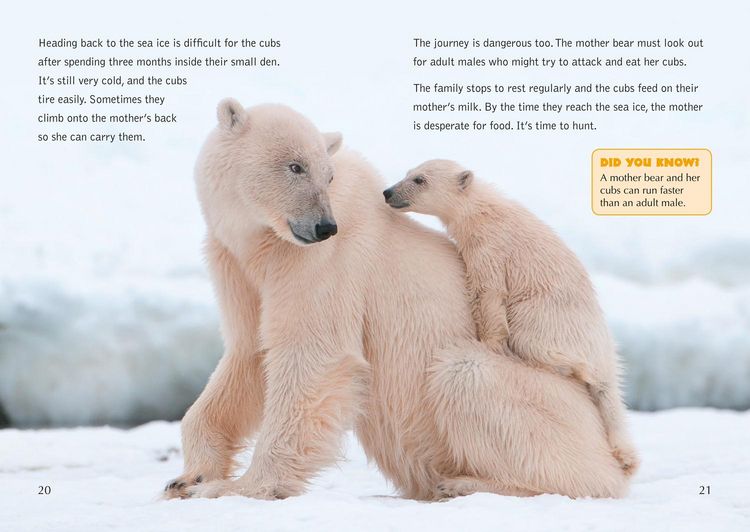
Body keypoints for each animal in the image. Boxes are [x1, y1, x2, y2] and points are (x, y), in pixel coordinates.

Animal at [383, 159, 639, 475]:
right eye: (408, 173)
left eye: (420, 179)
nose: (388, 192)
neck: (481, 210)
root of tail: (603, 350)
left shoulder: (491, 247)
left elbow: (489, 292)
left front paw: (490, 343)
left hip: (549, 318)